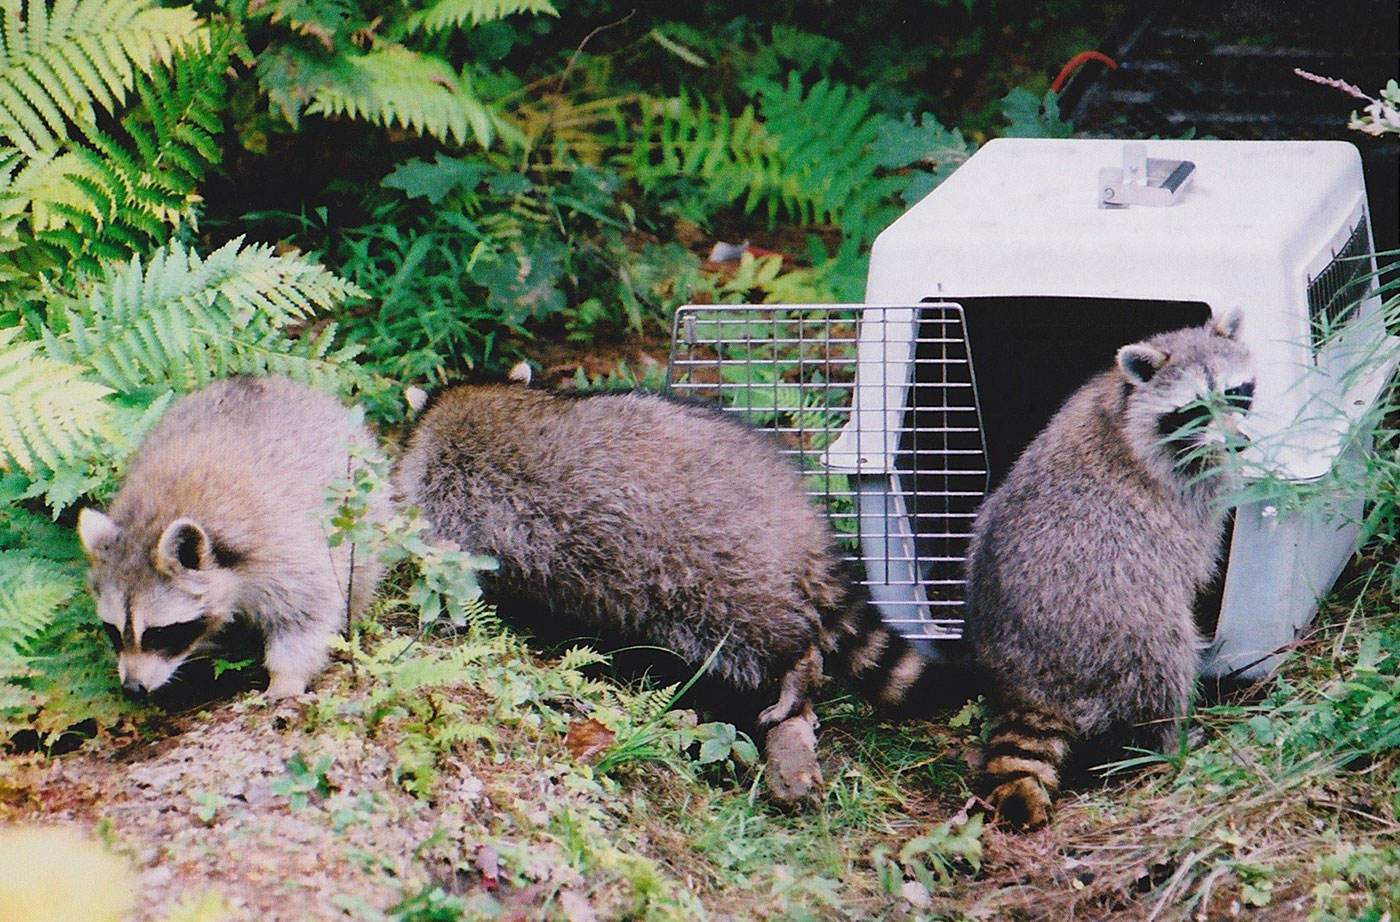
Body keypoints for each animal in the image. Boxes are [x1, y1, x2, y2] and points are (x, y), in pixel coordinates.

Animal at [77, 374, 389, 699]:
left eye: (159, 632)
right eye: (113, 630)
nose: (133, 688)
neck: (154, 518)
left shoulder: (284, 550)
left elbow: (306, 612)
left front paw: (286, 678)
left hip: (363, 510)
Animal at [968, 316, 1254, 828]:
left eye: (1234, 391)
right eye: (1195, 408)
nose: (1239, 443)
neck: (1125, 401)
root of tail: (1029, 676)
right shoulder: (1185, 496)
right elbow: (1197, 556)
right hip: (1116, 624)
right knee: (1163, 662)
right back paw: (1169, 741)